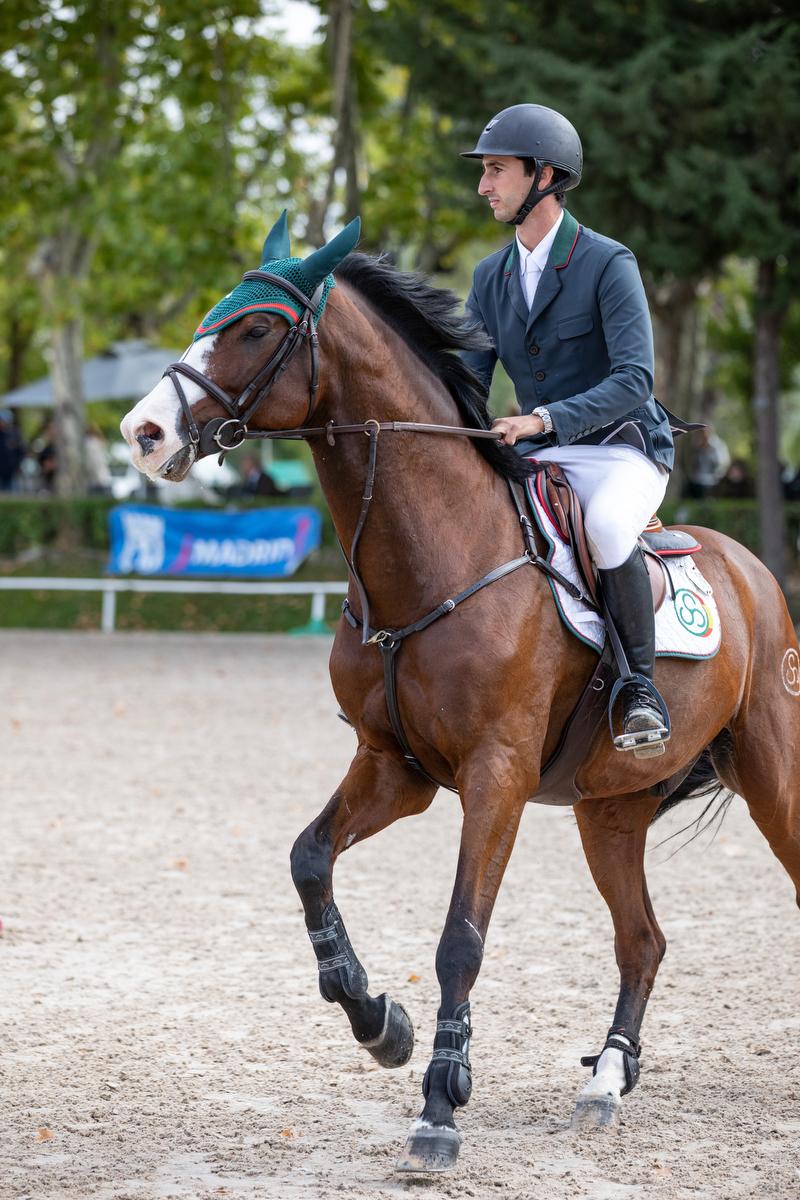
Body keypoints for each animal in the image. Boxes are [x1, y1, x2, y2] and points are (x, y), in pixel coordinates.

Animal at [118, 216, 800, 1171]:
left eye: (254, 329)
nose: (142, 432)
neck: (431, 557)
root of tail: (750, 567)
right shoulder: (394, 766)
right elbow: (308, 860)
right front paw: (379, 1022)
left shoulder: (496, 776)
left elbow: (459, 942)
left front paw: (440, 1106)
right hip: (610, 809)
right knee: (643, 941)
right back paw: (605, 1080)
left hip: (772, 773)